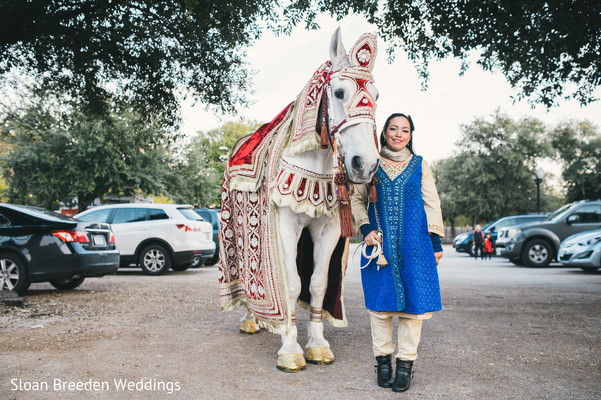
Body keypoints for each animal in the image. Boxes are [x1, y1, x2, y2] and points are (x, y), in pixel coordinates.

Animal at [220, 28, 380, 372]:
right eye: (338, 92)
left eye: (376, 95)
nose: (366, 164)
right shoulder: (285, 227)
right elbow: (292, 284)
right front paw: (290, 348)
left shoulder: (328, 229)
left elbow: (318, 283)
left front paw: (318, 345)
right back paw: (251, 317)